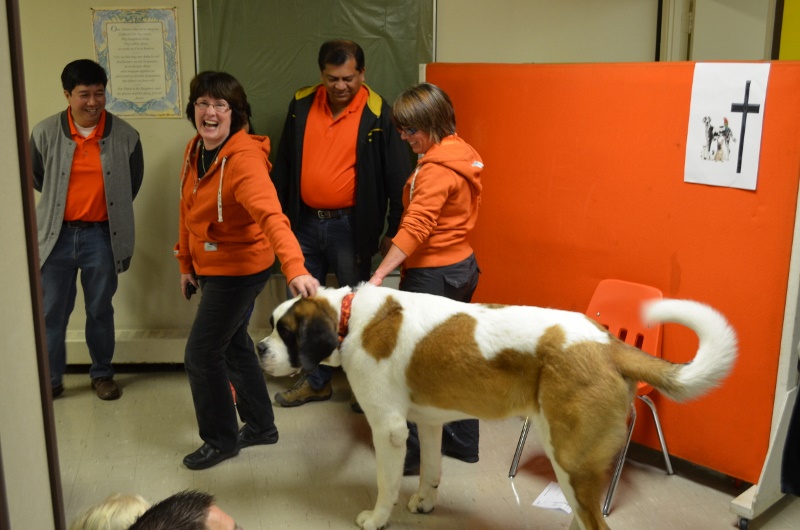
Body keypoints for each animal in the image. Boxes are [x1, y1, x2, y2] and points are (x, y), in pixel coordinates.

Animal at [256, 284, 736, 528]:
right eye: (273, 326)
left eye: (286, 332)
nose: (259, 348)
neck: (348, 317)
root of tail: (608, 344)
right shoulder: (427, 423)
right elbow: (430, 470)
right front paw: (425, 504)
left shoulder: (388, 430)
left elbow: (386, 483)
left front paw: (376, 518)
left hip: (571, 459)